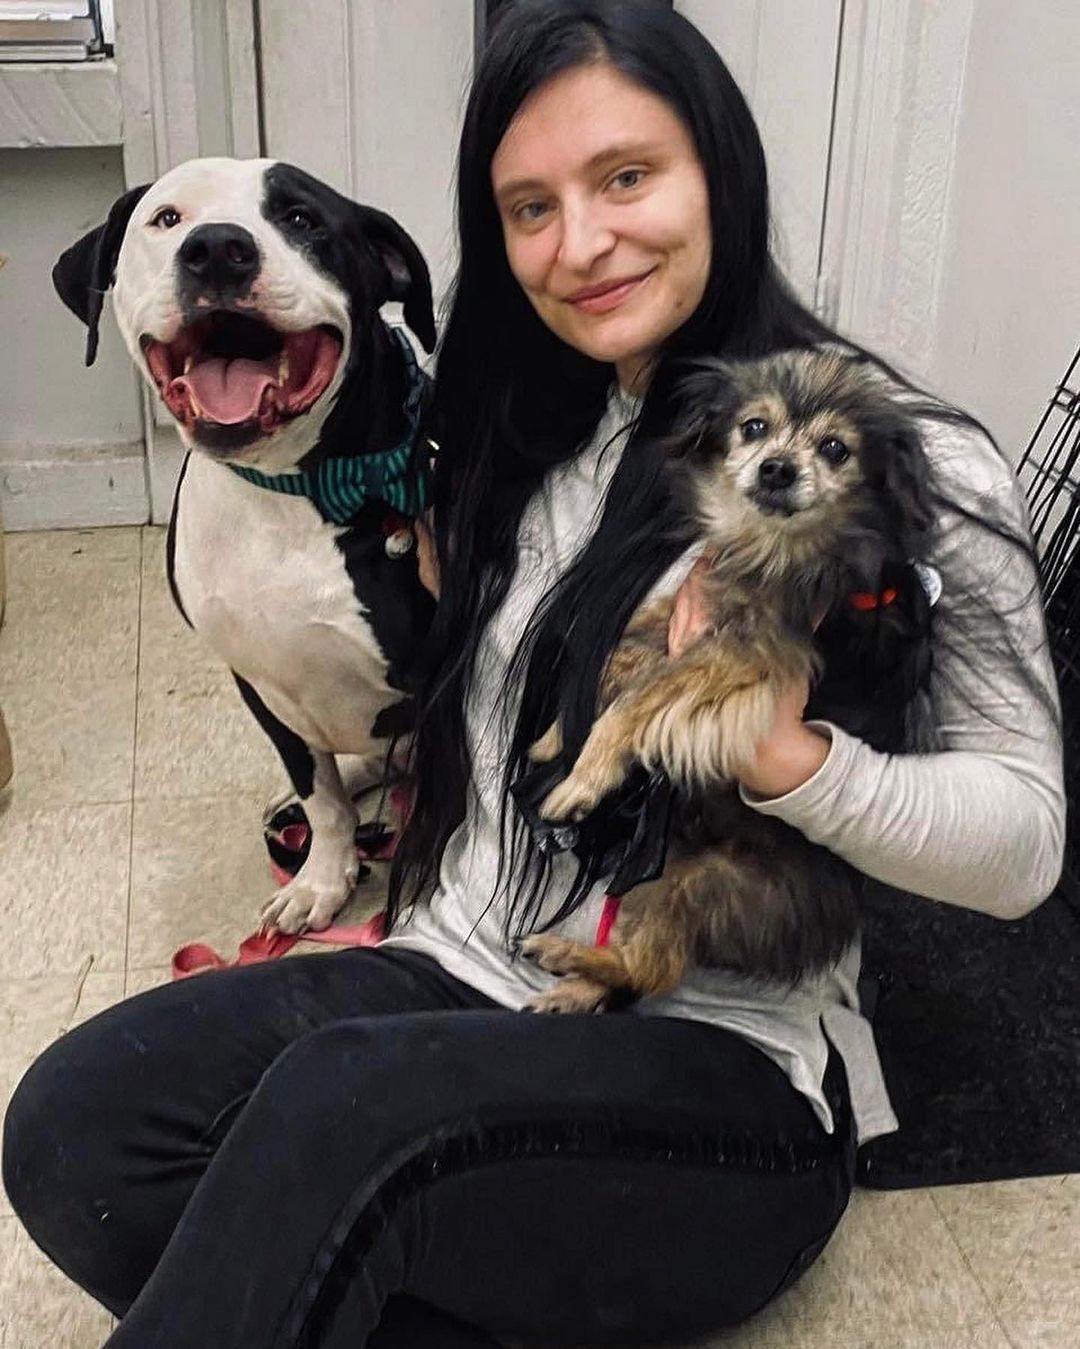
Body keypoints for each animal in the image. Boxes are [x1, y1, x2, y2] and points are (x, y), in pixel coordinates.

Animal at [52, 157, 436, 933]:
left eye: (301, 219)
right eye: (167, 219)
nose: (217, 249)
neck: (287, 493)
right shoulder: (256, 677)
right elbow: (320, 793)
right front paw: (322, 877)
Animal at [517, 348, 933, 1014]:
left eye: (836, 449)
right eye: (754, 428)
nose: (777, 469)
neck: (770, 549)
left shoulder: (744, 655)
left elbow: (636, 702)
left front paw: (582, 777)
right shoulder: (691, 613)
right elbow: (624, 649)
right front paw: (558, 734)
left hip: (708, 884)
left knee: (653, 967)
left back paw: (567, 956)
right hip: (663, 872)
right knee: (644, 963)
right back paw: (574, 983)